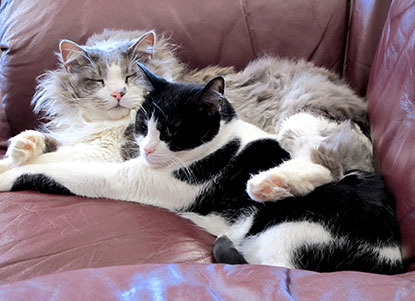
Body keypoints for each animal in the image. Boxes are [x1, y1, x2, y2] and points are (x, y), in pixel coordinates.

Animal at [0, 64, 404, 274]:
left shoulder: (127, 176)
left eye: (171, 130)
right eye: (143, 123)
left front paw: (9, 175)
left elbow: (66, 172)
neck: (223, 142)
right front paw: (18, 152)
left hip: (292, 227)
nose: (147, 148)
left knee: (273, 264)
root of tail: (393, 255)